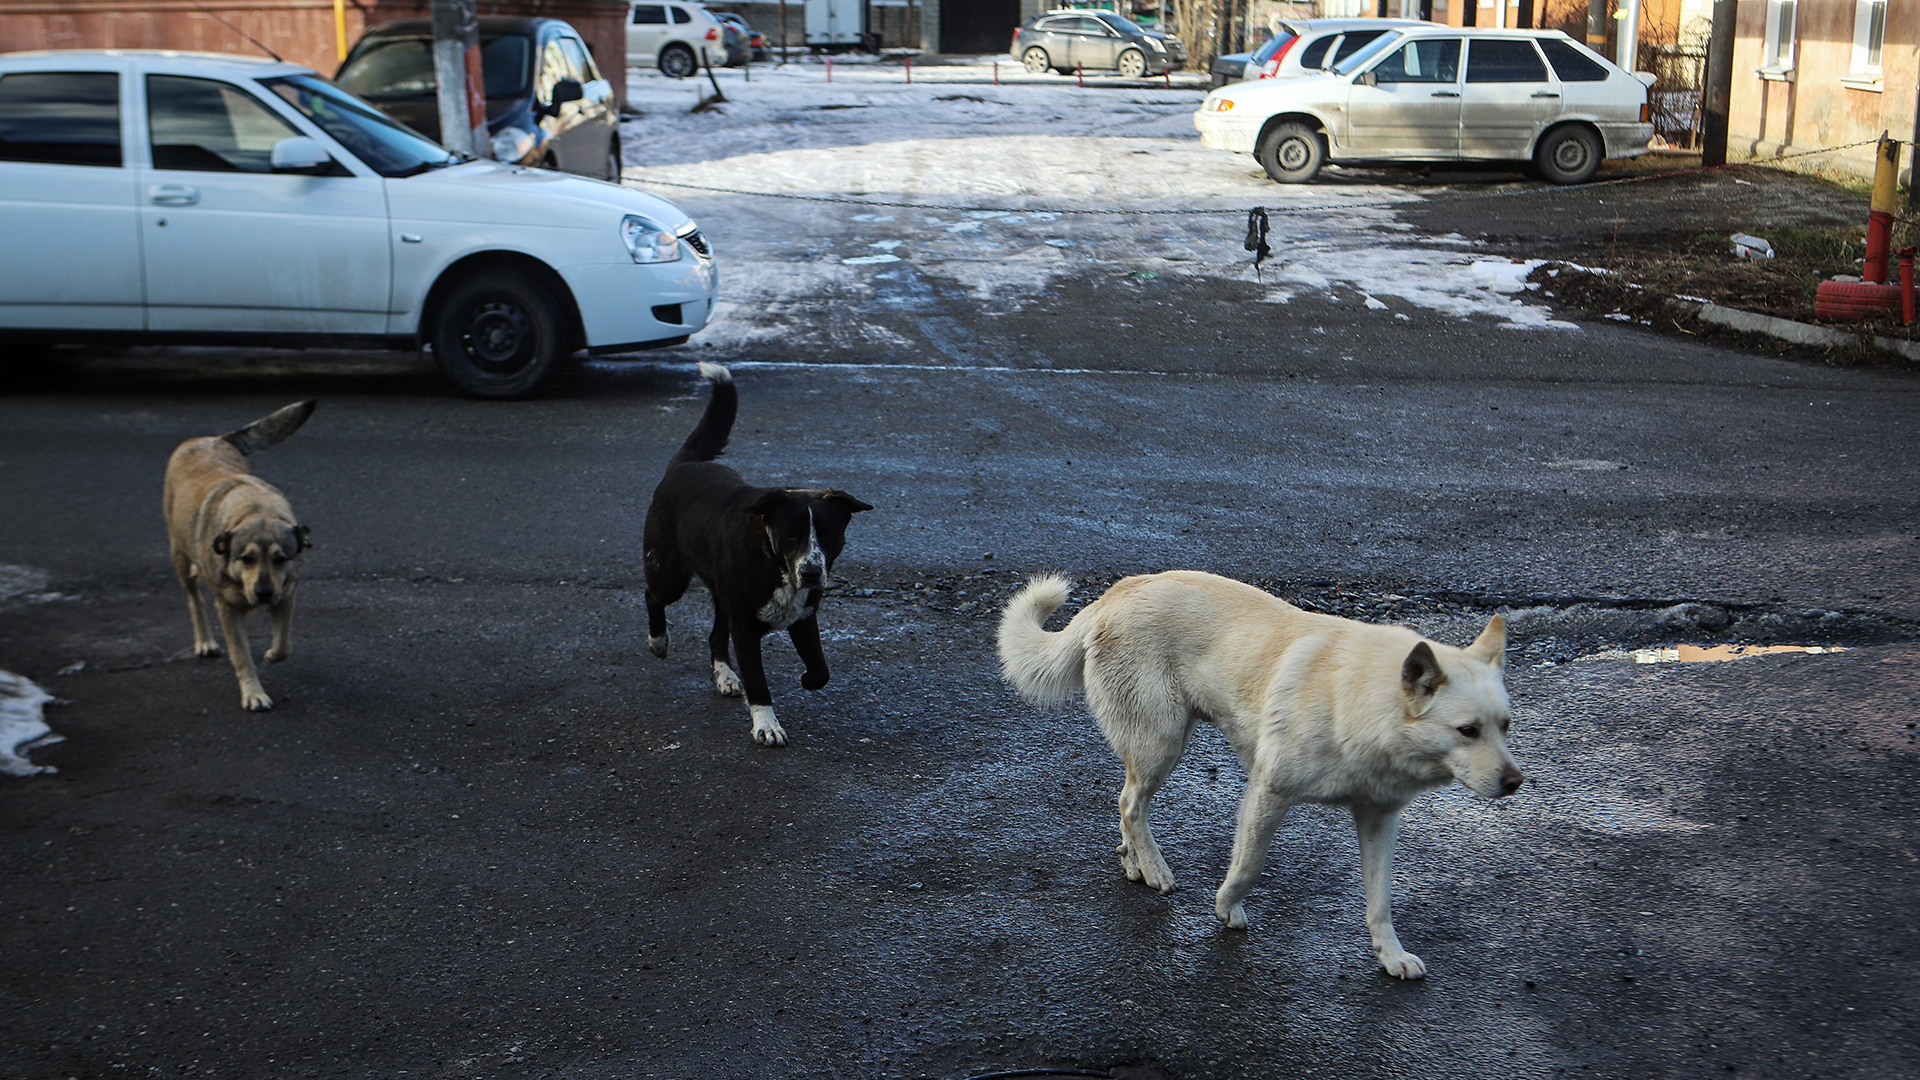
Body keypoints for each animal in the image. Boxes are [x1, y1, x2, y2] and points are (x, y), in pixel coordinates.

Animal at [163, 399, 316, 711]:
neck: (255, 509)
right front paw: (253, 694)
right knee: (194, 601)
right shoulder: (229, 611)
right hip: (180, 558)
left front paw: (271, 654)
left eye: (280, 559)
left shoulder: (286, 596)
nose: (263, 593)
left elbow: (284, 644)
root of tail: (211, 438)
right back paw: (205, 641)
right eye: (246, 558)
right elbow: (242, 656)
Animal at [652, 361, 879, 737]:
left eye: (828, 532)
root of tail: (684, 465)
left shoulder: (803, 617)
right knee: (653, 595)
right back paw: (658, 641)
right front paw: (766, 725)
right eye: (790, 534)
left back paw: (725, 675)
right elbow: (758, 681)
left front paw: (806, 679)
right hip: (668, 572)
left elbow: (821, 670)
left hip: (721, 595)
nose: (811, 572)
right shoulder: (745, 628)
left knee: (716, 636)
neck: (775, 565)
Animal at [998, 568, 1520, 980]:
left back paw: (1136, 864)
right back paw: (1156, 869)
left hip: (1155, 747)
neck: (1362, 702)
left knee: (1127, 805)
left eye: (1505, 726)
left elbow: (1380, 899)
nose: (1515, 782)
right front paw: (1227, 908)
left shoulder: (1379, 818)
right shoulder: (1268, 792)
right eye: (1467, 730)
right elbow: (1249, 865)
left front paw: (1391, 955)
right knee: (1131, 804)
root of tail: (1115, 593)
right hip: (1163, 744)